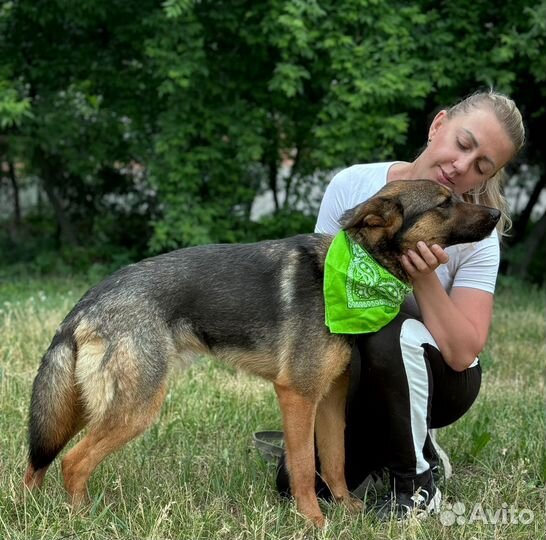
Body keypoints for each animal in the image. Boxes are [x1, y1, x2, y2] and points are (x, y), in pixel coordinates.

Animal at [22, 179, 498, 524]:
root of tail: (89, 301)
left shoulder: (329, 401)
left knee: (39, 460)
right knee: (72, 462)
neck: (353, 269)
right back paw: (81, 518)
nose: (497, 214)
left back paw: (33, 510)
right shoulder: (298, 397)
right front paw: (314, 522)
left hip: (82, 406)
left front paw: (347, 510)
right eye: (444, 203)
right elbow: (304, 467)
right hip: (134, 408)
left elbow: (335, 463)